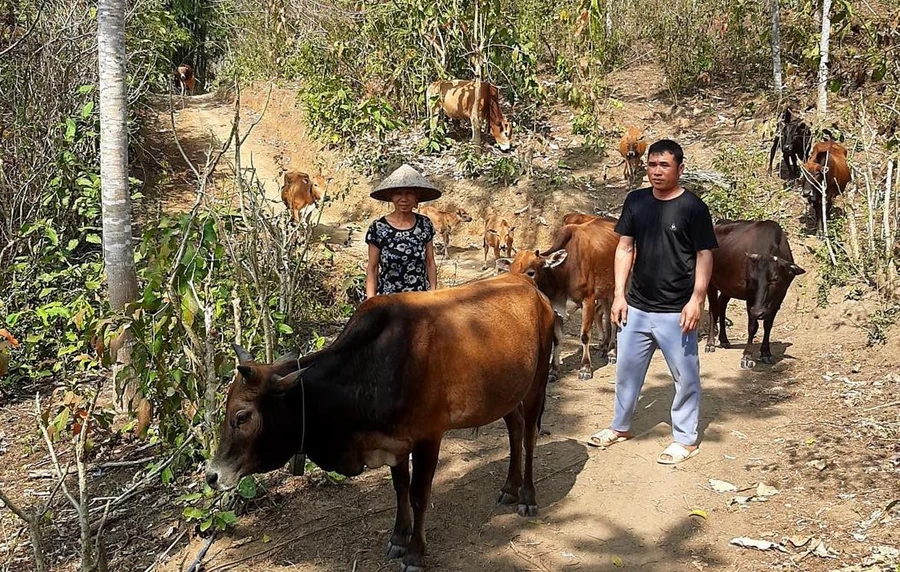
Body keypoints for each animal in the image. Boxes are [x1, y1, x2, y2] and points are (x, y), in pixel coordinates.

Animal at [205, 274, 556, 572]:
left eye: (242, 417)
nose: (212, 476)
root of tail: (528, 284)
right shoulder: (394, 442)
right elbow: (400, 488)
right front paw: (398, 538)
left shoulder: (429, 437)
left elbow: (418, 493)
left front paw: (415, 554)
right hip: (506, 393)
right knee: (514, 428)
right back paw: (509, 488)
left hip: (537, 382)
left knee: (528, 436)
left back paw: (527, 497)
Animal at [496, 217, 624, 382]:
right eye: (511, 271)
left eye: (530, 272)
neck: (562, 273)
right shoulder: (556, 308)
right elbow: (557, 340)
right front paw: (553, 370)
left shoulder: (588, 300)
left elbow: (585, 336)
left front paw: (585, 369)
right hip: (605, 292)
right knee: (606, 314)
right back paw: (603, 346)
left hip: (617, 289)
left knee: (614, 321)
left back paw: (612, 352)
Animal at [708, 219, 804, 370]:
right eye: (753, 278)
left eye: (775, 279)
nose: (758, 311)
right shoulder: (750, 297)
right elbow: (752, 326)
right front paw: (747, 356)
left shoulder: (778, 299)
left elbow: (768, 325)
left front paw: (766, 353)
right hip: (709, 283)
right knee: (713, 309)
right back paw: (710, 343)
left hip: (727, 288)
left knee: (721, 306)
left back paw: (724, 340)